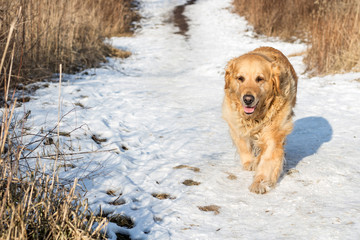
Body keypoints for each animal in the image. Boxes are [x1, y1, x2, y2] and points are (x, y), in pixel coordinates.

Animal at [222, 46, 298, 193]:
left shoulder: (273, 133)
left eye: (260, 79)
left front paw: (260, 182)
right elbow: (243, 145)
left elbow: (268, 158)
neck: (254, 117)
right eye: (240, 78)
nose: (248, 99)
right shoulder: (234, 123)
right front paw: (250, 162)